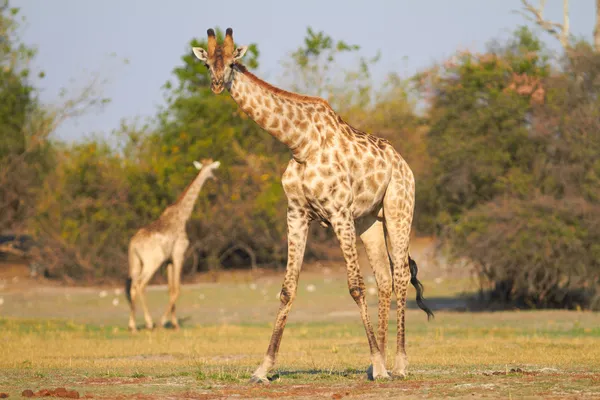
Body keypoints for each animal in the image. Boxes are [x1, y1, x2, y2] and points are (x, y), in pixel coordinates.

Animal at [125, 159, 220, 332]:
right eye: (212, 170)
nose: (216, 179)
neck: (182, 216)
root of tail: (134, 244)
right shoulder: (178, 254)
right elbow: (177, 289)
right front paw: (165, 323)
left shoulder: (169, 260)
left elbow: (170, 289)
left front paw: (174, 324)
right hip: (152, 262)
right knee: (141, 285)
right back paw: (150, 323)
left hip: (135, 262)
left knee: (133, 286)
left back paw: (132, 326)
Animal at [192, 27, 432, 382]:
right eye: (207, 63)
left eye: (232, 61)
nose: (218, 84)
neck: (300, 144)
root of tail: (404, 163)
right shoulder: (296, 214)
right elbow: (287, 288)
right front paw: (263, 368)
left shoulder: (339, 213)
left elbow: (355, 286)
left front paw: (378, 362)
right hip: (369, 221)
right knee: (385, 278)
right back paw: (383, 364)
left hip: (399, 208)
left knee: (401, 273)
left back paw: (398, 365)